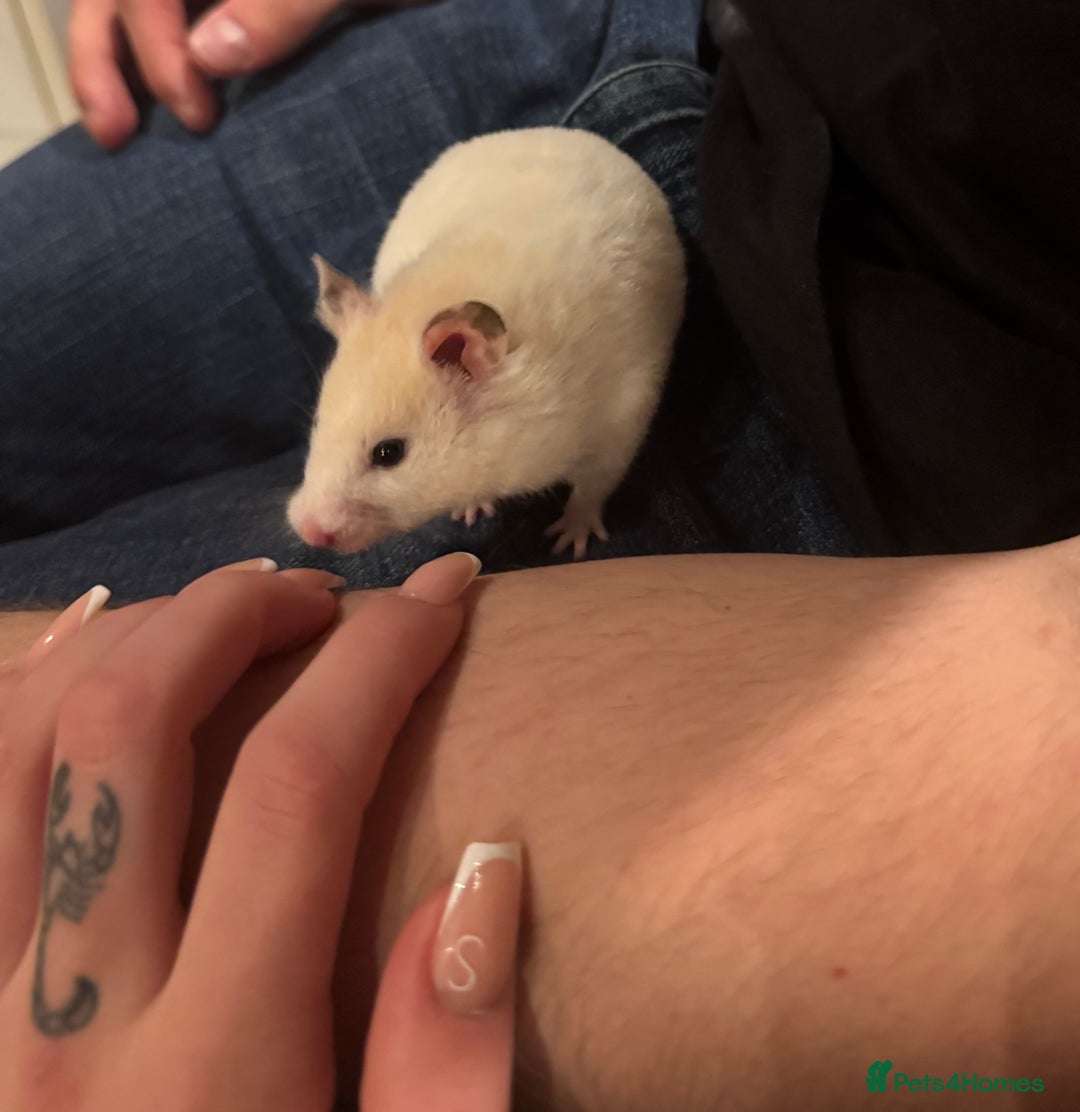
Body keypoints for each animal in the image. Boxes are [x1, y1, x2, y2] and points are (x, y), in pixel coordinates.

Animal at [287, 126, 686, 559]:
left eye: (388, 453)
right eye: (318, 423)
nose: (306, 530)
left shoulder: (621, 421)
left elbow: (592, 488)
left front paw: (568, 542)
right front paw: (470, 511)